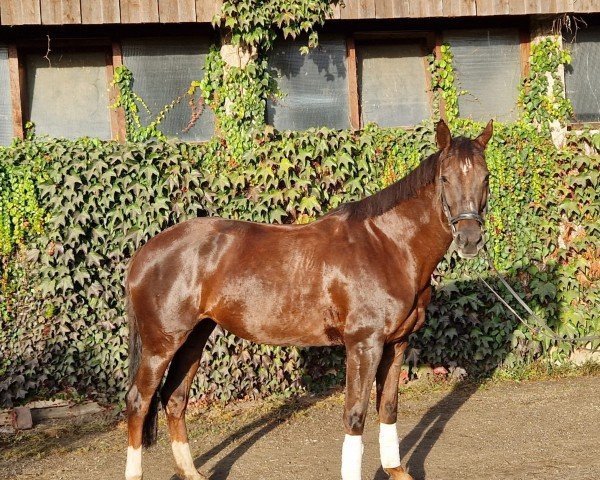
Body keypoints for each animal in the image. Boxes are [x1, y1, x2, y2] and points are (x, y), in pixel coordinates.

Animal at [123, 119, 492, 480]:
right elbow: (355, 414)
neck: (387, 246)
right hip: (161, 344)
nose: (470, 239)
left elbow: (387, 408)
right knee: (139, 402)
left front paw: (396, 471)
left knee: (174, 399)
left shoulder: (396, 344)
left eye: (485, 176)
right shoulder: (364, 345)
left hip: (194, 337)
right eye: (444, 177)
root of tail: (144, 253)